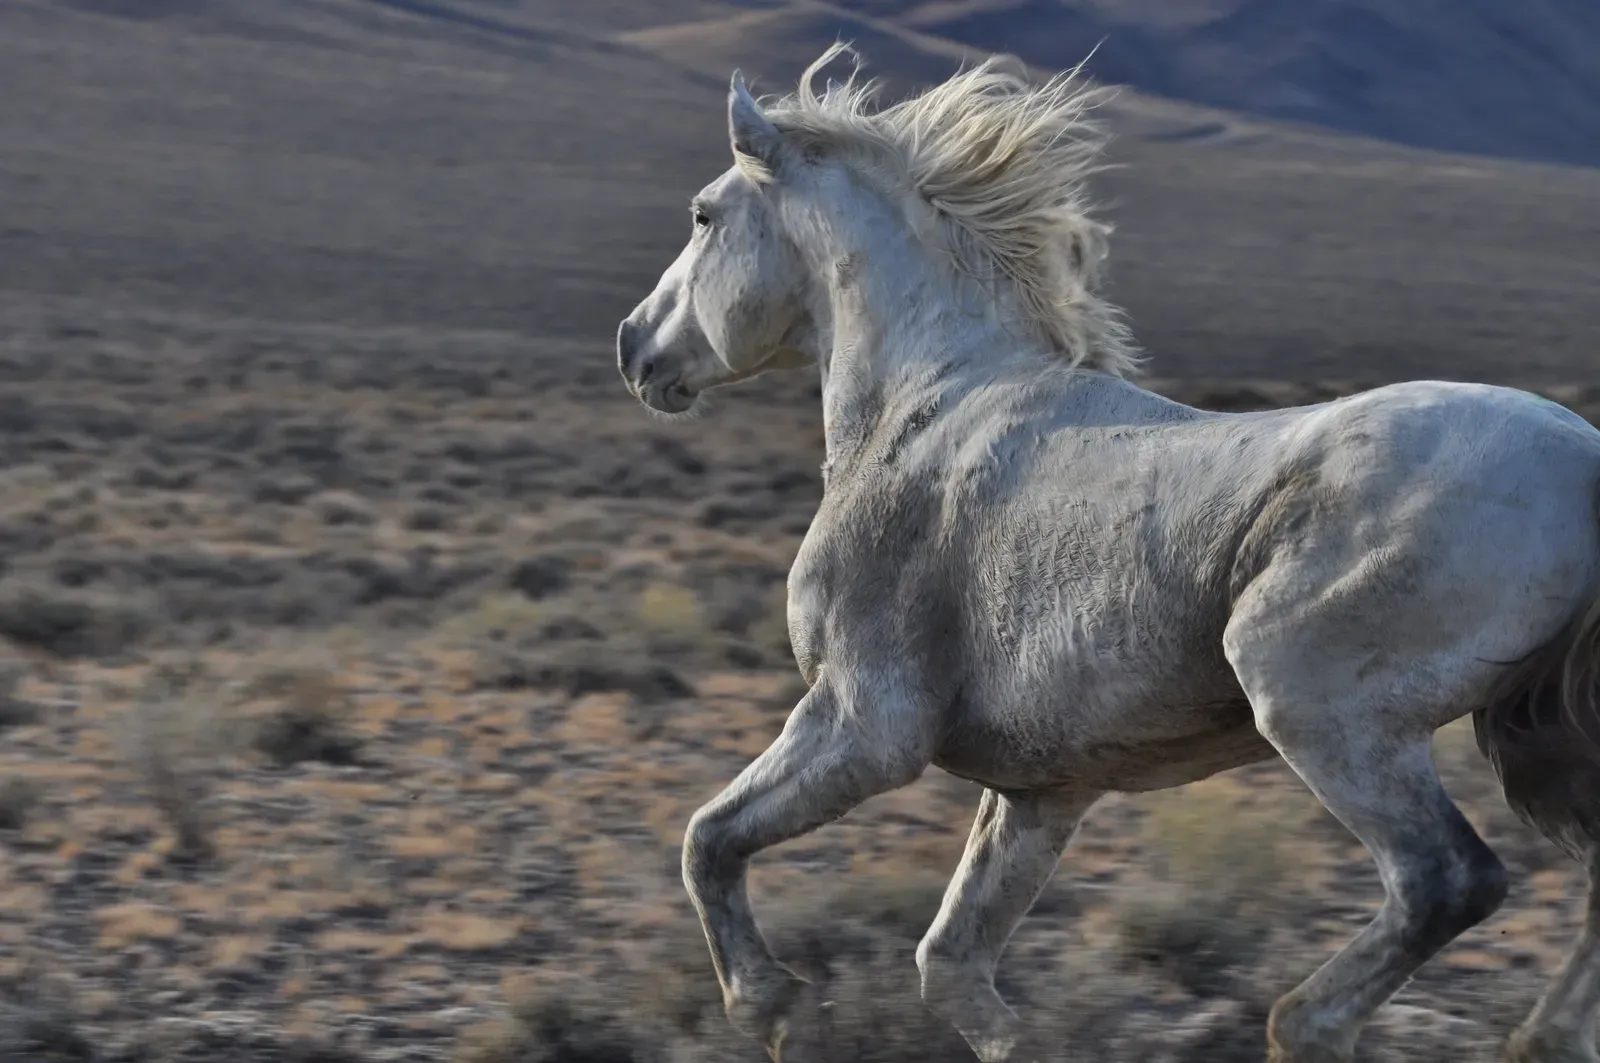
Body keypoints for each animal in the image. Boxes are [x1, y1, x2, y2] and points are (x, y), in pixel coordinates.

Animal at [614, 43, 1600, 1063]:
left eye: (702, 214)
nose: (634, 347)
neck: (923, 405)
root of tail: (1586, 464)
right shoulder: (1040, 788)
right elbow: (952, 967)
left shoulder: (862, 720)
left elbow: (708, 839)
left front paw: (771, 1008)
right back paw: (1540, 1040)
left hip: (1327, 712)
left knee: (1445, 882)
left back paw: (1304, 1020)